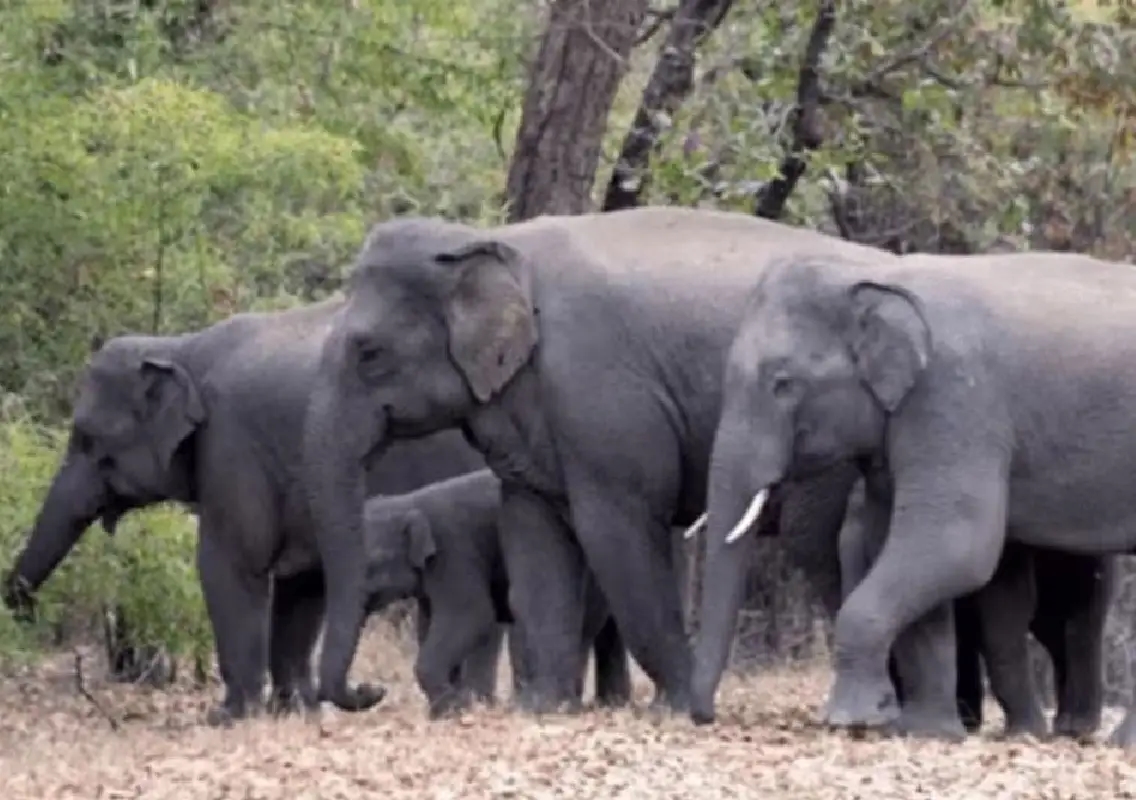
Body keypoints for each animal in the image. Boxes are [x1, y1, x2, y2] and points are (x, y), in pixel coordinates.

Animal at [0, 297, 501, 725]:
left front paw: (227, 717)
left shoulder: (230, 446)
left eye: (87, 438)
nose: (25, 612)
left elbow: (230, 565)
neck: (178, 347)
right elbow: (302, 583)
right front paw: (293, 711)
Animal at [362, 468, 631, 717]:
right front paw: (451, 707)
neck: (410, 502)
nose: (377, 690)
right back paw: (611, 703)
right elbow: (428, 623)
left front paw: (457, 708)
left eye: (373, 562)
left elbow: (470, 616)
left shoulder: (454, 552)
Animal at [691, 249, 1136, 744]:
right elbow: (896, 545)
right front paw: (925, 731)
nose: (704, 716)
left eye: (783, 383)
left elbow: (953, 546)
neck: (871, 276)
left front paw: (854, 720)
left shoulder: (954, 399)